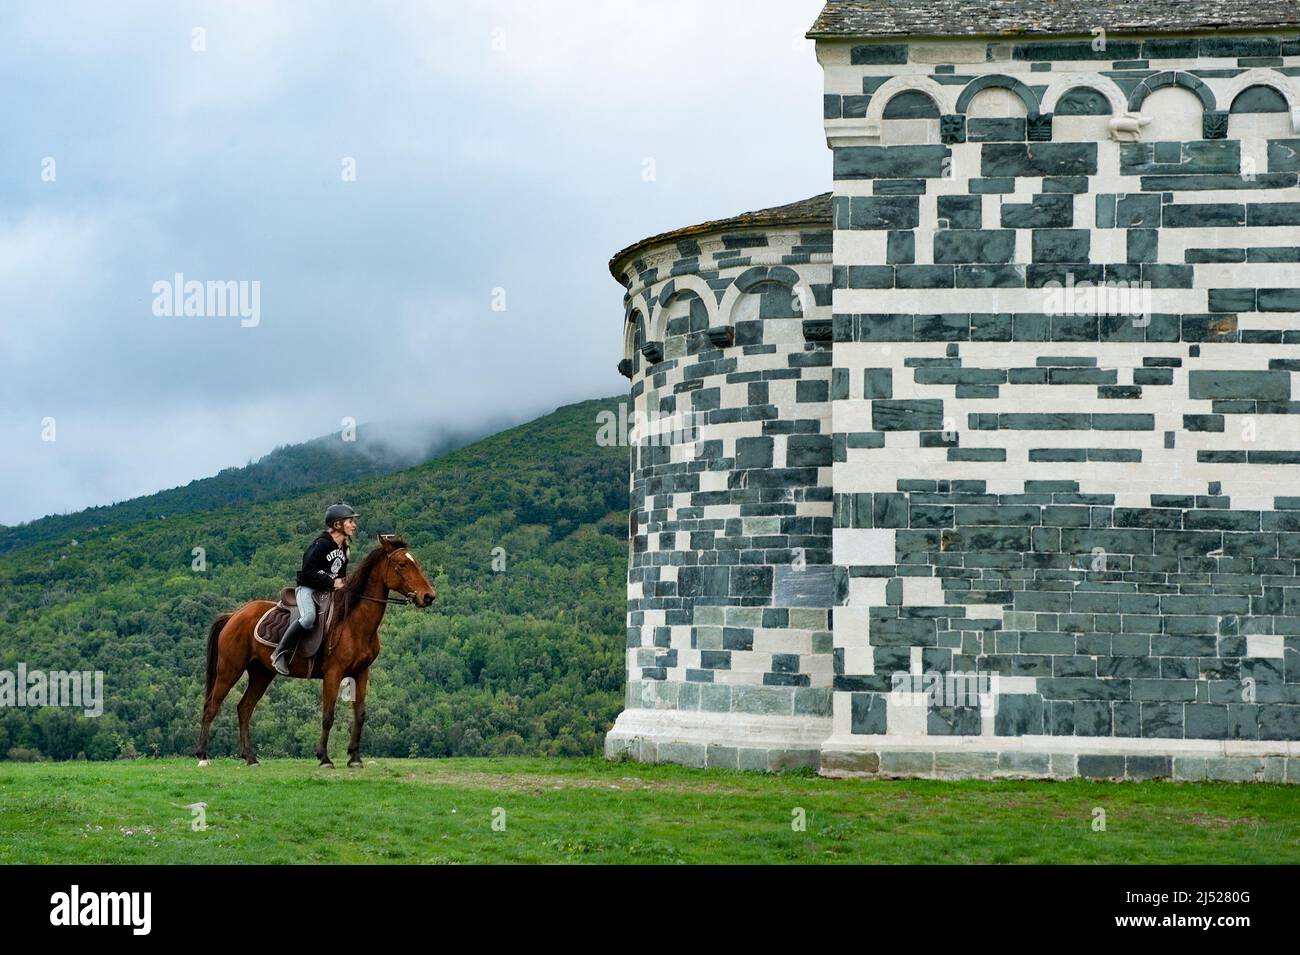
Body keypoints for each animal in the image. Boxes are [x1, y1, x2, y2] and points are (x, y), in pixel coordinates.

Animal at [193, 535, 436, 774]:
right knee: (211, 706)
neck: (352, 622)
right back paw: (203, 756)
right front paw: (324, 758)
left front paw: (355, 758)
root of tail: (234, 615)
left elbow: (360, 715)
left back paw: (250, 758)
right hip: (229, 670)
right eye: (402, 564)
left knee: (244, 709)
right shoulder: (333, 674)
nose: (429, 596)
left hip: (261, 673)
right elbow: (328, 716)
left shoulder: (361, 673)